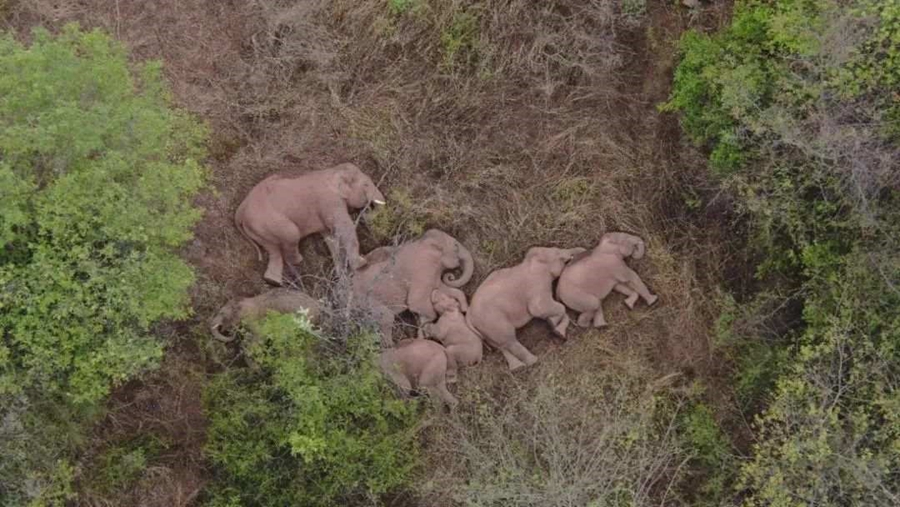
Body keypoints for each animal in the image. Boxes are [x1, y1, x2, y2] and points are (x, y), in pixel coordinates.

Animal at [235, 162, 386, 286]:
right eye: (366, 185)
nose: (366, 211)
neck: (333, 171)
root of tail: (240, 210)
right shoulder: (330, 201)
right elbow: (343, 227)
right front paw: (362, 264)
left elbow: (330, 237)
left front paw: (341, 277)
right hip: (269, 222)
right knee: (291, 235)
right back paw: (297, 262)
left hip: (259, 229)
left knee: (273, 250)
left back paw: (273, 282)